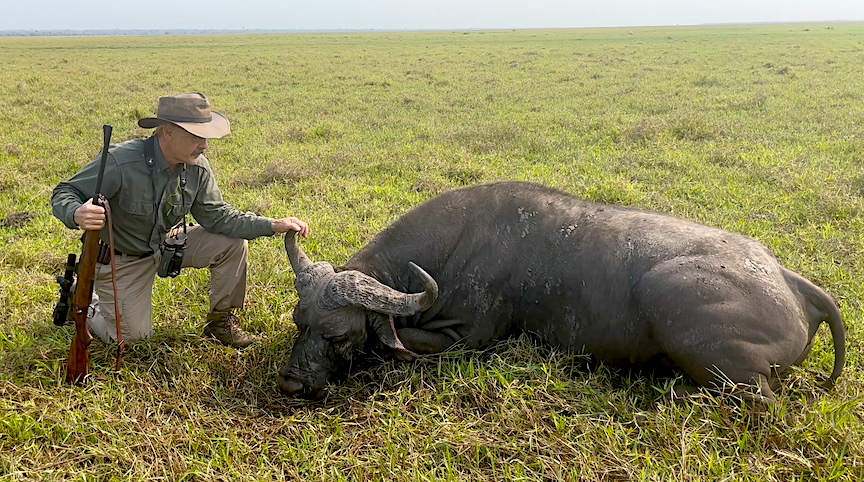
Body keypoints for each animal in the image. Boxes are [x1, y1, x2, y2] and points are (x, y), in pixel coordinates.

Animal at [278, 182, 844, 403]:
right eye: (300, 324)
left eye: (340, 336)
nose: (291, 383)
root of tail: (787, 279)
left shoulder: (470, 339)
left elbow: (391, 345)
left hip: (682, 308)